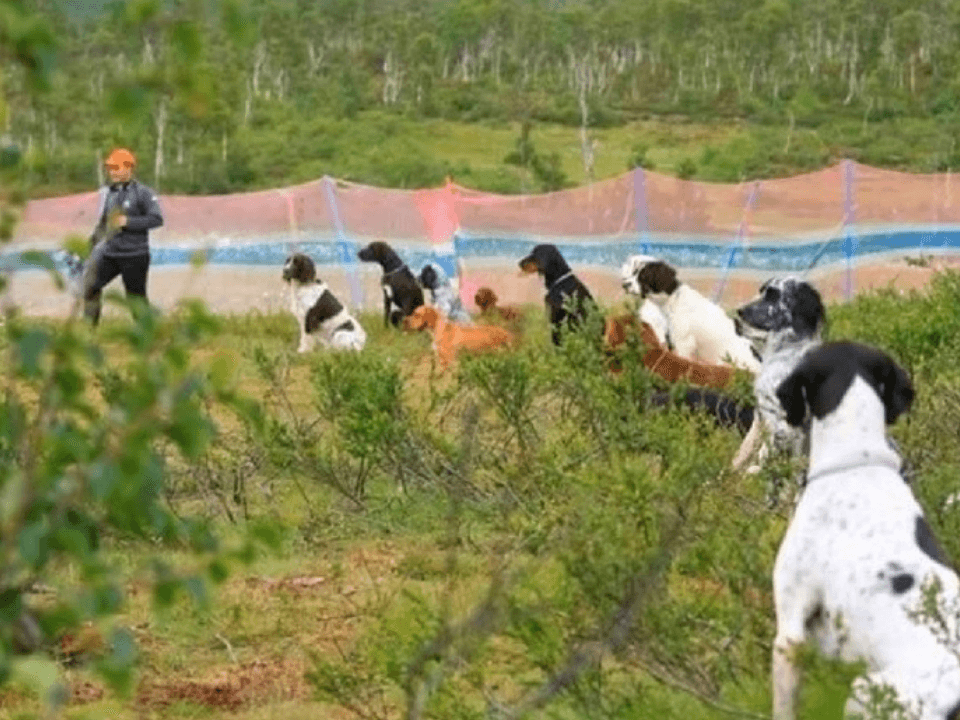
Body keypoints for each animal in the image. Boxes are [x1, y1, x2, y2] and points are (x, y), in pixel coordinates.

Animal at [630, 260, 759, 373]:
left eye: (643, 277)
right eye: (634, 273)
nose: (626, 284)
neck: (674, 299)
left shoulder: (684, 342)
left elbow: (682, 360)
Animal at [730, 276, 826, 475]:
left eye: (773, 296)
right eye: (761, 292)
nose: (738, 311)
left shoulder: (786, 424)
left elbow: (766, 455)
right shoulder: (761, 415)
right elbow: (746, 449)